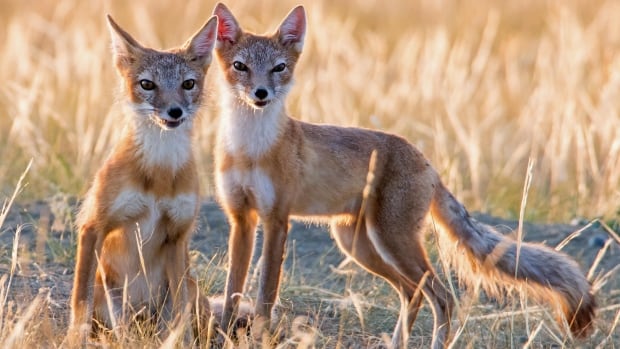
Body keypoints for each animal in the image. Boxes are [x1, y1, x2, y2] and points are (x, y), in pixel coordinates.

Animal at [67, 14, 218, 346]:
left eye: (188, 84)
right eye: (147, 84)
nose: (175, 111)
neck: (158, 173)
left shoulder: (177, 236)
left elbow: (180, 314)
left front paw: (184, 344)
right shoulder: (93, 225)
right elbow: (79, 299)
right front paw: (72, 341)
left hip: (186, 286)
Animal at [212, 3, 596, 348]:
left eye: (279, 68)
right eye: (240, 66)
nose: (261, 94)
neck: (250, 150)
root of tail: (427, 162)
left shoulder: (277, 220)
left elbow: (265, 292)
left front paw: (257, 337)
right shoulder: (241, 219)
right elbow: (233, 289)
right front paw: (225, 332)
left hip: (391, 241)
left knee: (441, 296)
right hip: (358, 243)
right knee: (413, 293)